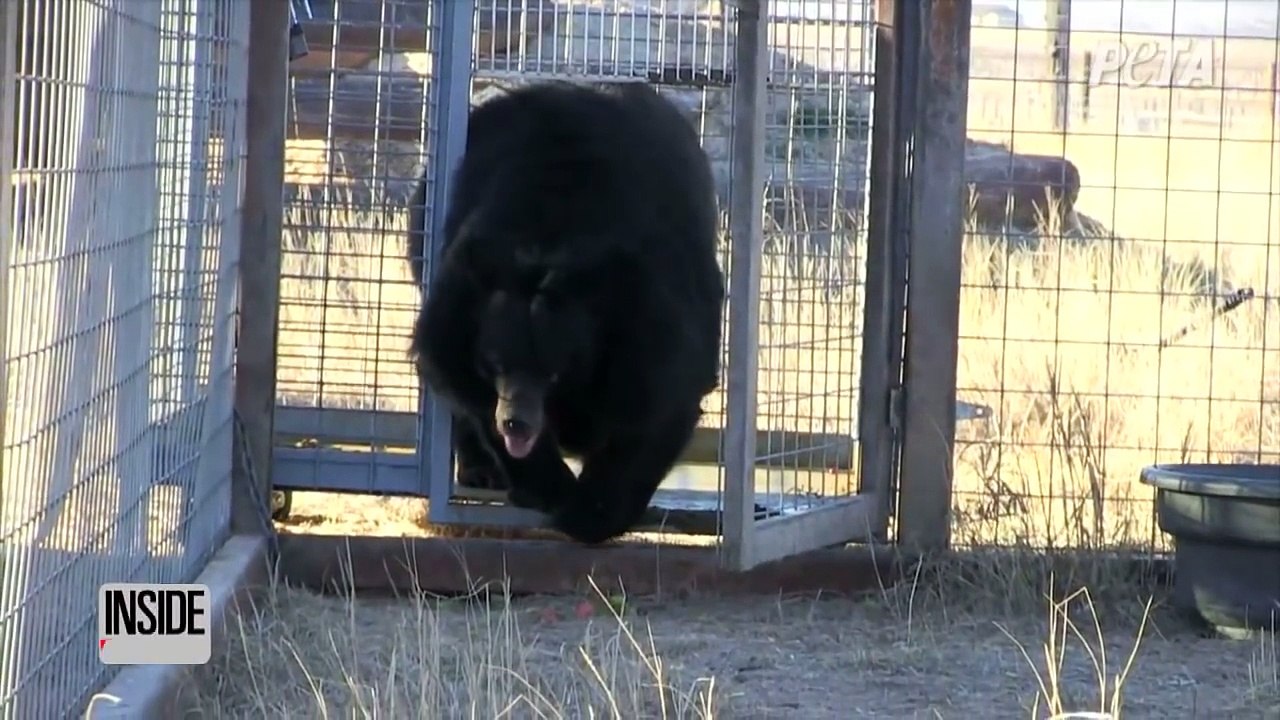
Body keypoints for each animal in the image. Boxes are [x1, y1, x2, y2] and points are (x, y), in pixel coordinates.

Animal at [407, 80, 725, 545]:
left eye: (554, 371)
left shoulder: (653, 310)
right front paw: (547, 488)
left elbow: (659, 404)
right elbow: (463, 383)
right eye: (494, 363)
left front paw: (591, 512)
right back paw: (482, 471)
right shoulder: (459, 300)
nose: (515, 424)